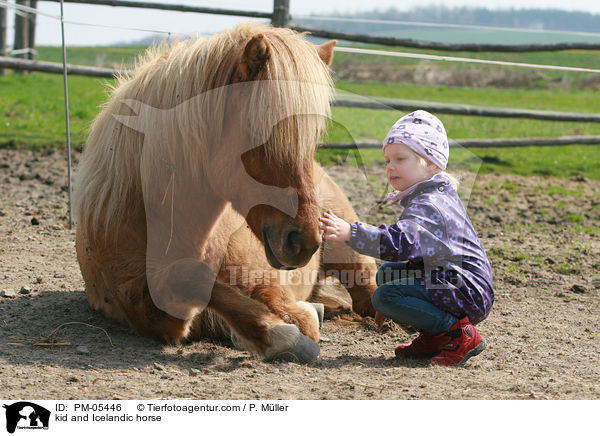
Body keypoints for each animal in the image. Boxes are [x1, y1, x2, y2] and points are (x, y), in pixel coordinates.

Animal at [72, 22, 376, 362]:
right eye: (256, 132)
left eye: (317, 136)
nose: (305, 241)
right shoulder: (139, 301)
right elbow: (189, 276)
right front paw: (279, 333)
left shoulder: (263, 278)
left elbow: (288, 311)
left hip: (348, 252)